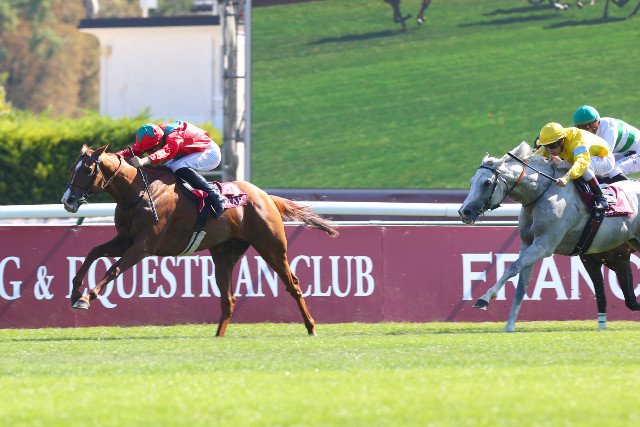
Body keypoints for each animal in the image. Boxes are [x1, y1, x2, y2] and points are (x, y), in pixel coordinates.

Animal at [61, 145, 339, 337]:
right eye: (72, 168)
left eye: (87, 169)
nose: (67, 200)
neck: (136, 192)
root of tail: (266, 196)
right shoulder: (125, 239)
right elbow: (93, 252)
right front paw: (75, 291)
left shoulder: (143, 245)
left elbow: (114, 269)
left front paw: (86, 297)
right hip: (224, 254)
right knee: (229, 299)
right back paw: (218, 336)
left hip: (272, 247)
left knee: (293, 284)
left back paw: (311, 327)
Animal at [458, 141, 640, 332]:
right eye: (471, 181)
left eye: (487, 183)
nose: (464, 211)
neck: (541, 193)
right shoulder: (527, 244)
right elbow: (521, 283)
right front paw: (509, 325)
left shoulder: (544, 245)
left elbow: (511, 268)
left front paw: (484, 298)